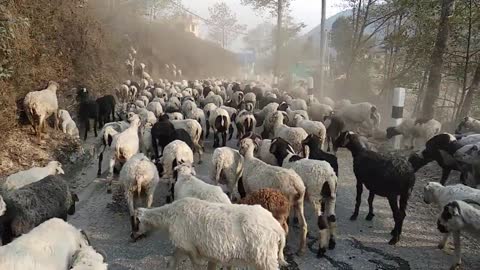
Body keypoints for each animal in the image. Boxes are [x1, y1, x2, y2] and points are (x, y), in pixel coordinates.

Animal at [131, 196, 286, 270]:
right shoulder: (184, 247)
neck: (168, 216)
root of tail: (277, 228)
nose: (131, 237)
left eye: (134, 223)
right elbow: (172, 263)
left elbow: (196, 265)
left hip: (265, 257)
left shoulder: (188, 247)